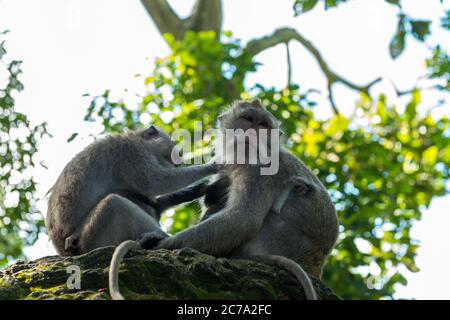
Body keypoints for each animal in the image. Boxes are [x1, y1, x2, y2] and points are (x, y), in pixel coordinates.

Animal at [46, 124, 220, 255]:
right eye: (173, 143)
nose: (180, 153)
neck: (136, 139)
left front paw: (188, 193)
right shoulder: (132, 153)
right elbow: (154, 181)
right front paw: (211, 166)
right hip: (91, 238)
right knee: (114, 203)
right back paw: (160, 236)